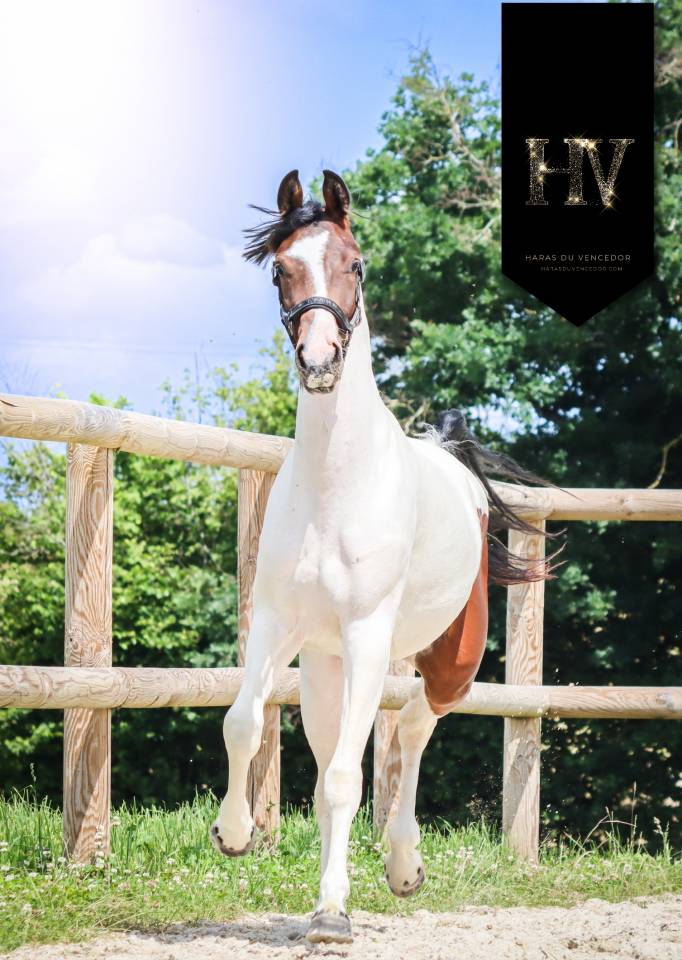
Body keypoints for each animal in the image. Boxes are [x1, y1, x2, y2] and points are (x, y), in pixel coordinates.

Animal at [210, 169, 553, 944]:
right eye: (280, 269)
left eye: (356, 264)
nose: (319, 362)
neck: (336, 486)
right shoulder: (277, 624)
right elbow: (244, 723)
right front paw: (233, 835)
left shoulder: (369, 634)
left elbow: (346, 777)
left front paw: (333, 914)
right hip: (324, 667)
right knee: (344, 751)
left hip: (449, 657)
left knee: (416, 729)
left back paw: (403, 867)